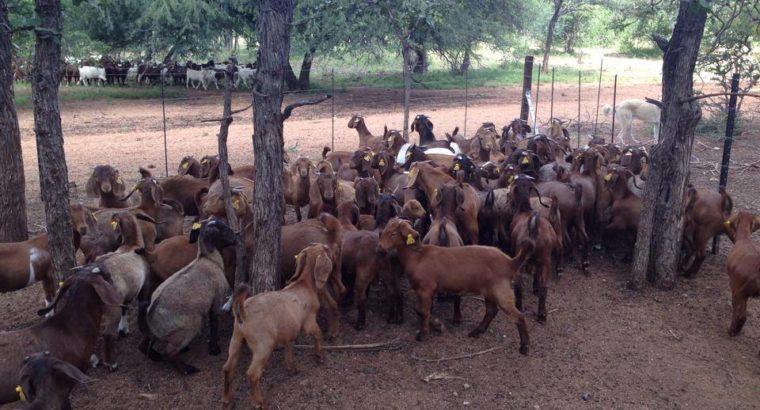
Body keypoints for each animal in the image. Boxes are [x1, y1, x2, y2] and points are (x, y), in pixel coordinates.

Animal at [139, 218, 236, 375]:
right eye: (225, 230)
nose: (236, 237)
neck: (209, 259)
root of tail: (150, 315)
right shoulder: (216, 300)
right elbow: (214, 324)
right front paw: (214, 349)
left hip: (160, 333)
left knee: (143, 345)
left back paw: (156, 356)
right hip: (189, 326)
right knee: (168, 353)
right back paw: (187, 369)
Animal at [222, 245, 334, 409]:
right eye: (325, 248)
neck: (304, 284)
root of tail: (243, 311)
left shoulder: (289, 331)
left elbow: (289, 347)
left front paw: (292, 368)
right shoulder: (309, 322)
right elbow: (318, 334)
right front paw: (320, 356)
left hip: (236, 338)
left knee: (228, 368)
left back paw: (227, 401)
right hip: (264, 345)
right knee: (252, 374)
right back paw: (260, 402)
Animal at [377, 218, 532, 354]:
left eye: (393, 234)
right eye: (383, 231)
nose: (380, 249)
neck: (417, 257)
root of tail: (510, 262)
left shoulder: (426, 289)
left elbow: (423, 311)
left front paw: (423, 334)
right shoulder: (425, 290)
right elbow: (419, 309)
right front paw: (437, 325)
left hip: (501, 290)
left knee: (519, 316)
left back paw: (524, 347)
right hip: (490, 291)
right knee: (491, 311)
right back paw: (475, 332)